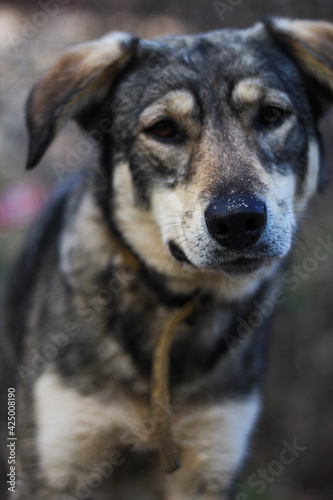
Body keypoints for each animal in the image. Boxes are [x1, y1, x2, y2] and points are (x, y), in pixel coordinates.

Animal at [1, 15, 330, 500]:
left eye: (271, 115)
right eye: (164, 129)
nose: (238, 220)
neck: (174, 306)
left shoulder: (208, 465)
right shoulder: (55, 466)